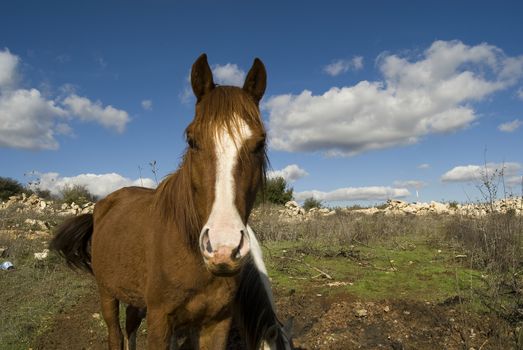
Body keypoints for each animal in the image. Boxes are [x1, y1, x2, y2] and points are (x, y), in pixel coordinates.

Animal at [51, 54, 292, 350]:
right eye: (192, 140)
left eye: (260, 143)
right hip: (107, 292)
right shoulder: (160, 321)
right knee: (115, 334)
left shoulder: (217, 323)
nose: (223, 248)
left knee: (131, 325)